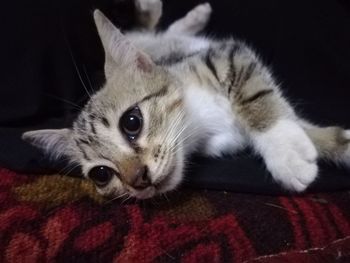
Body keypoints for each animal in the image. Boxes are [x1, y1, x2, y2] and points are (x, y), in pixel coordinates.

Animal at [22, 0, 350, 200]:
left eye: (132, 122)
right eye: (101, 174)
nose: (139, 179)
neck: (200, 124)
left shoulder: (227, 56)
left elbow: (262, 100)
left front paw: (288, 151)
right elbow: (303, 127)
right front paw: (305, 151)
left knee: (146, 29)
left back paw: (163, 9)